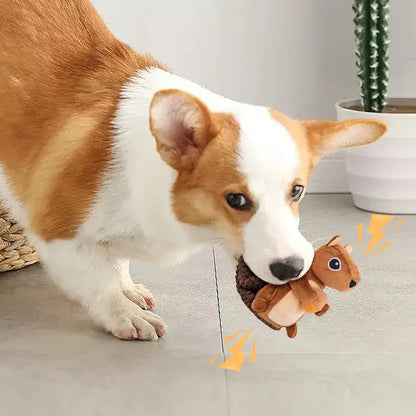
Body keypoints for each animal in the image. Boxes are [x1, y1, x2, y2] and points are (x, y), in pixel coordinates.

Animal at [0, 0, 386, 342]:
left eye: (297, 191)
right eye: (236, 200)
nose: (292, 268)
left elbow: (116, 263)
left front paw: (129, 289)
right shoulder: (58, 235)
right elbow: (101, 283)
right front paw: (126, 314)